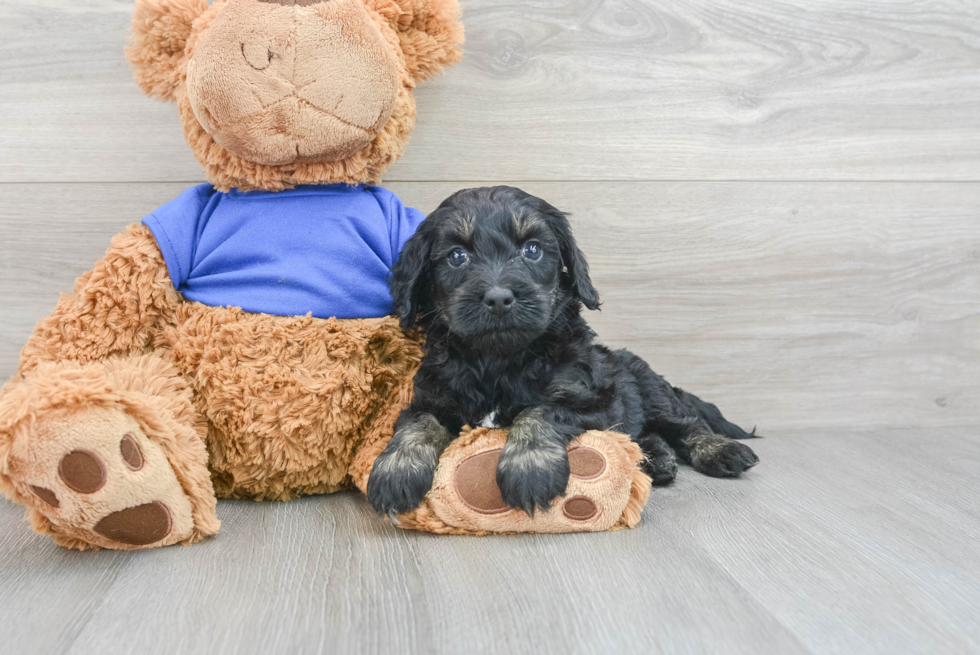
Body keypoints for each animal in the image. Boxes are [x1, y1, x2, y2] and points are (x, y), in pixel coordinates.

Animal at [368, 186, 756, 516]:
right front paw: (395, 471)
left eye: (532, 249)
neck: (498, 359)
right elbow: (417, 424)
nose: (498, 298)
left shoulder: (589, 397)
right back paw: (656, 459)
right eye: (457, 256)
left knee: (687, 423)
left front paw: (529, 469)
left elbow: (541, 410)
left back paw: (720, 450)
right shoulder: (431, 397)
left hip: (654, 393)